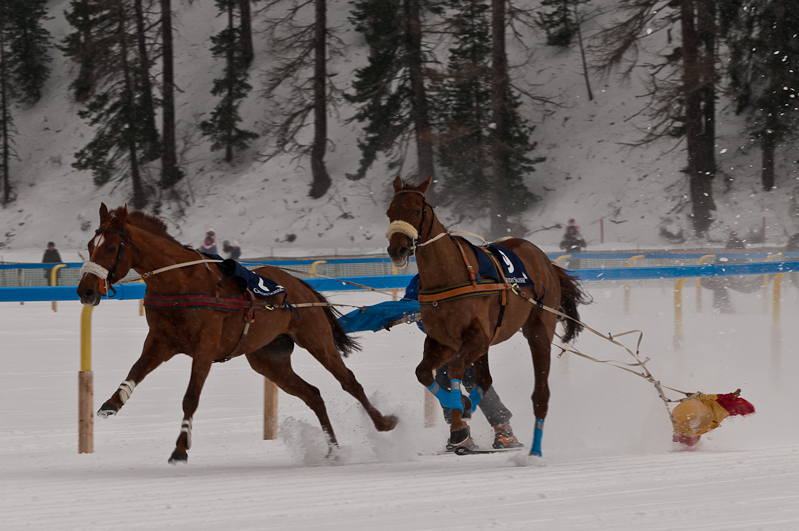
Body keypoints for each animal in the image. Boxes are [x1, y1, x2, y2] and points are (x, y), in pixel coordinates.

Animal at [78, 206, 396, 464]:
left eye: (110, 248)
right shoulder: (161, 340)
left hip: (317, 340)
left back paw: (384, 423)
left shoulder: (204, 348)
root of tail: (299, 284)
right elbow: (136, 370)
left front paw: (180, 448)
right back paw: (333, 450)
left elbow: (190, 398)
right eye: (90, 245)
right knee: (313, 395)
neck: (181, 283)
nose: (86, 290)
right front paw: (111, 403)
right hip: (268, 359)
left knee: (349, 382)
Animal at [388, 177, 588, 456]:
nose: (397, 249)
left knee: (540, 393)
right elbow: (424, 372)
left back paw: (534, 451)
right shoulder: (443, 341)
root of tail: (544, 259)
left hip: (538, 329)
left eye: (416, 210)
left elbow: (455, 369)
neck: (449, 276)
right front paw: (460, 410)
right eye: (389, 212)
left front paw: (459, 426)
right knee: (484, 379)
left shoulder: (477, 338)